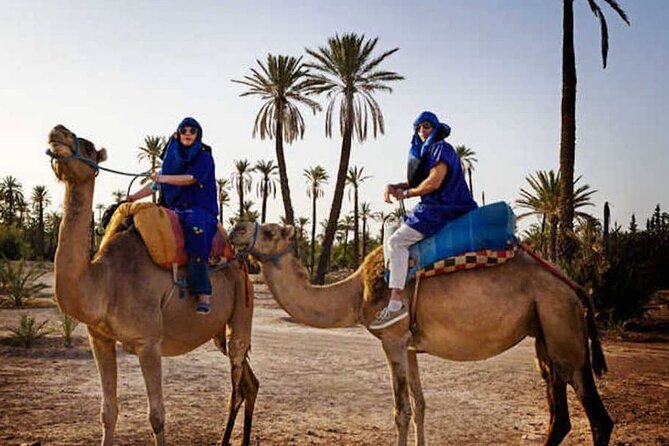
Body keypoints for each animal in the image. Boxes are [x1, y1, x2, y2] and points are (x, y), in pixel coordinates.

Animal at [47, 125, 258, 446]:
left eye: (88, 145)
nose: (58, 131)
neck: (105, 282)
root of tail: (242, 263)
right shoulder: (99, 338)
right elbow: (108, 411)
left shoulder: (149, 342)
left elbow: (156, 416)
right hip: (219, 332)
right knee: (250, 383)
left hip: (242, 310)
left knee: (237, 384)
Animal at [230, 222, 614, 446]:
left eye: (269, 231)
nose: (235, 228)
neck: (355, 293)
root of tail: (575, 288)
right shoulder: (411, 348)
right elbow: (421, 405)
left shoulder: (393, 340)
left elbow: (401, 410)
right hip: (545, 334)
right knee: (559, 416)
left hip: (563, 330)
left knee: (599, 420)